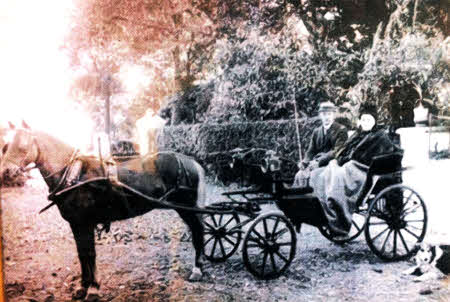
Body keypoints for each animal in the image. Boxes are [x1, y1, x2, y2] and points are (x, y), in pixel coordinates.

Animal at [0, 121, 207, 300]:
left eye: (23, 146)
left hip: (187, 208)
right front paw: (83, 287)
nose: (6, 172)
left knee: (198, 232)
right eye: (6, 146)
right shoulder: (76, 224)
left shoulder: (85, 223)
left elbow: (90, 254)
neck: (74, 174)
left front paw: (93, 288)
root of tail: (188, 160)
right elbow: (82, 254)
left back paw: (197, 269)